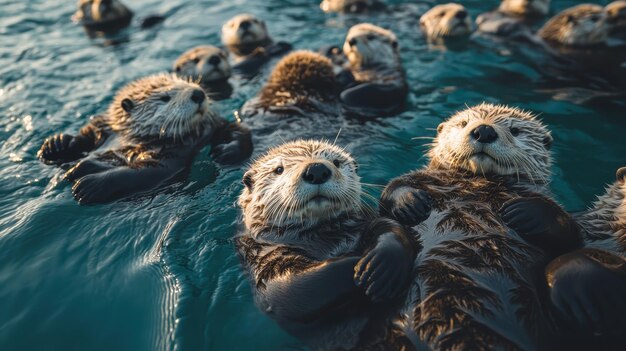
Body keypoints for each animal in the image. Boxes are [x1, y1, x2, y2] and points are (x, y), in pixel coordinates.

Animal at [38, 74, 251, 206]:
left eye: (188, 82)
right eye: (165, 98)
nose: (198, 93)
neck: (132, 137)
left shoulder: (175, 150)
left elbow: (143, 171)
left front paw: (88, 185)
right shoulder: (103, 129)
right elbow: (84, 137)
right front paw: (56, 143)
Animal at [234, 139, 414, 350]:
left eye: (336, 162)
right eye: (278, 169)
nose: (317, 169)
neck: (322, 238)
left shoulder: (364, 223)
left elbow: (391, 229)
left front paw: (381, 265)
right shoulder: (264, 260)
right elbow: (291, 292)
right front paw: (364, 267)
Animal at [378, 103, 584, 350]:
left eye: (515, 130)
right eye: (464, 123)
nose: (484, 131)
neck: (475, 184)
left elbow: (571, 232)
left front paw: (523, 212)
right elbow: (392, 188)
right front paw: (410, 202)